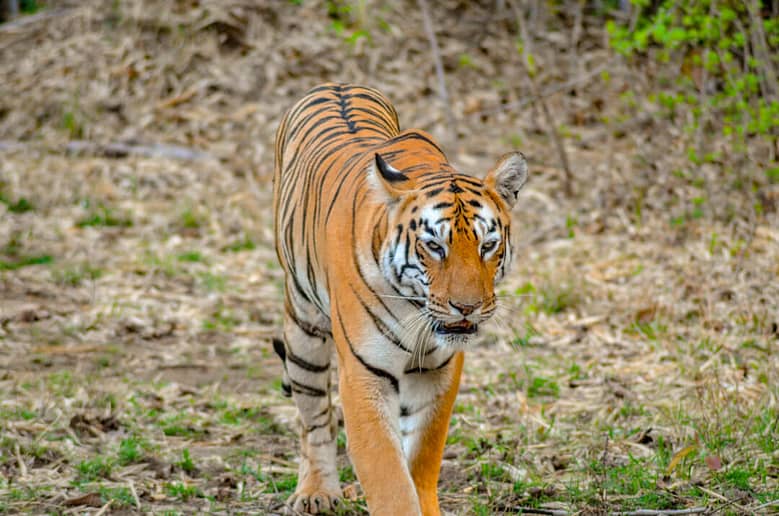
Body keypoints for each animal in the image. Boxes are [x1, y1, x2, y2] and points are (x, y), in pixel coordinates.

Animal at [272, 82, 528, 512]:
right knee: (315, 417)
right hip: (304, 332)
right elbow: (389, 477)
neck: (414, 309)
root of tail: (337, 83)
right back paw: (316, 492)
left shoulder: (438, 373)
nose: (467, 307)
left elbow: (421, 460)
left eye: (488, 245)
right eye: (435, 247)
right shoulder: (363, 376)